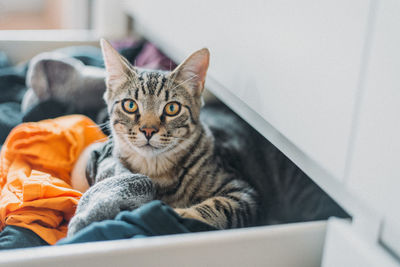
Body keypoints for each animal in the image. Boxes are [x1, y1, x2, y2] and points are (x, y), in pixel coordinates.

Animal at [68, 39, 260, 237]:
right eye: (130, 105)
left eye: (172, 108)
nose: (148, 130)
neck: (155, 168)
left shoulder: (242, 191)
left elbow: (219, 206)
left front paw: (178, 214)